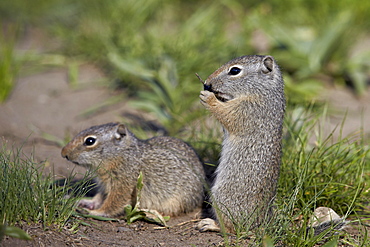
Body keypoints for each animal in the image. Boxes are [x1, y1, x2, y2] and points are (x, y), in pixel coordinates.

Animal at [61, 122, 205, 217]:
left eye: (90, 141)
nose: (63, 153)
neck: (121, 155)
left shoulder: (123, 185)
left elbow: (113, 204)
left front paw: (95, 212)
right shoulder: (104, 185)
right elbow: (99, 197)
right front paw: (84, 202)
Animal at [198, 55, 284, 233]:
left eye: (235, 70)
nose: (207, 84)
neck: (263, 93)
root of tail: (259, 223)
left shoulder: (249, 111)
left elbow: (227, 115)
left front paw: (209, 98)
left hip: (223, 197)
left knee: (231, 228)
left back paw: (211, 224)